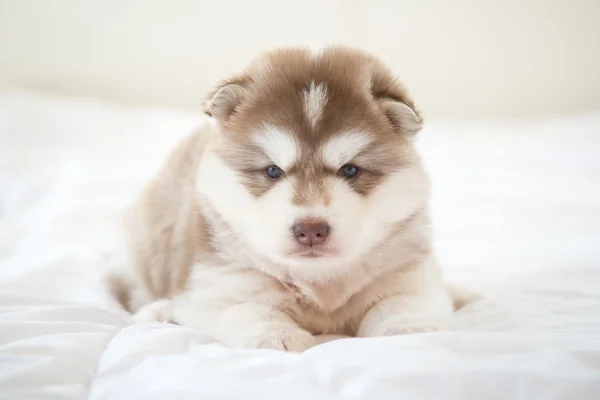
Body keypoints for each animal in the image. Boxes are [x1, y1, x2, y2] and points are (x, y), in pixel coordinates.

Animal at [106, 46, 474, 350]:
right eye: (272, 171)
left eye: (350, 170)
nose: (310, 229)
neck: (319, 285)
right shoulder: (217, 287)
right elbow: (247, 307)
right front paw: (275, 335)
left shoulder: (408, 277)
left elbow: (399, 303)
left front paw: (405, 329)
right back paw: (157, 311)